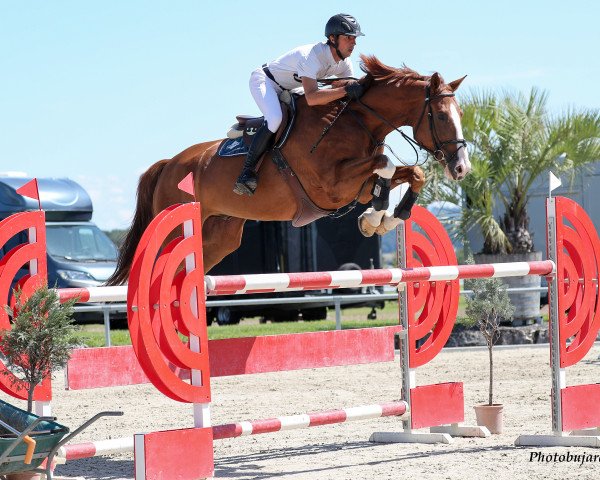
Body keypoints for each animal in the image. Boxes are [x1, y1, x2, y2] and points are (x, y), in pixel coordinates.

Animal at [110, 54, 472, 284]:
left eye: (461, 114)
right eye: (442, 116)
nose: (462, 168)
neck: (355, 120)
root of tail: (167, 164)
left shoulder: (355, 185)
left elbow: (409, 173)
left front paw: (384, 218)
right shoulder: (331, 187)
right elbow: (385, 164)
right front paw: (376, 216)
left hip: (220, 236)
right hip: (176, 227)